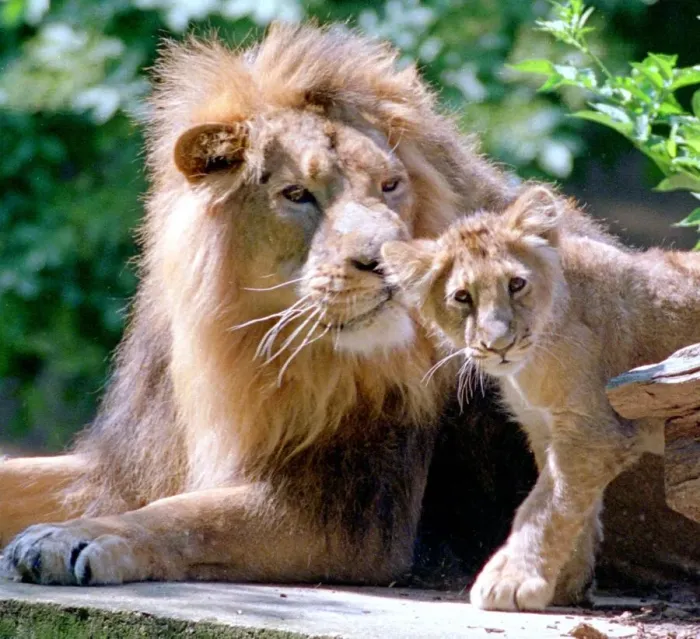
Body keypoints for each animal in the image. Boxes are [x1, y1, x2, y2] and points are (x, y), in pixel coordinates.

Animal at [381, 184, 700, 610]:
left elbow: (544, 506)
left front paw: (510, 581)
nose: (499, 344)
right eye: (462, 297)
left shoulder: (594, 430)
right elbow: (575, 506)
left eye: (516, 284)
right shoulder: (546, 428)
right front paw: (566, 585)